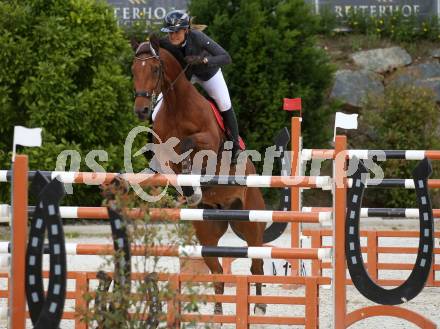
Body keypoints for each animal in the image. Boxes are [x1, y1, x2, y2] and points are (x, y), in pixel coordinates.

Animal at [131, 35, 268, 316]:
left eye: (155, 69)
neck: (177, 106)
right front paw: (187, 189)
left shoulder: (209, 142)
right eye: (133, 70)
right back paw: (218, 313)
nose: (141, 110)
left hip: (251, 222)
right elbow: (172, 160)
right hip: (207, 230)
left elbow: (188, 145)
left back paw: (259, 306)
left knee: (257, 263)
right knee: (217, 271)